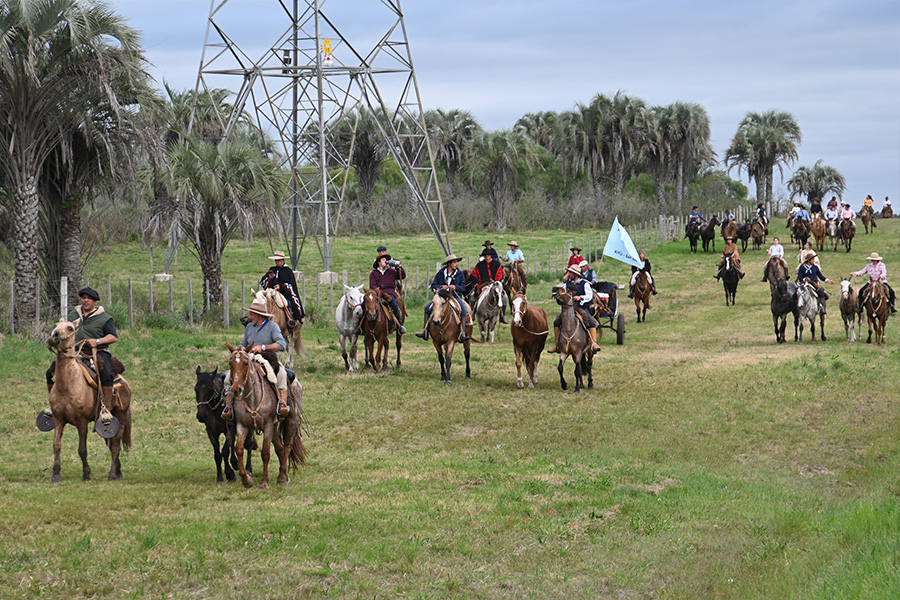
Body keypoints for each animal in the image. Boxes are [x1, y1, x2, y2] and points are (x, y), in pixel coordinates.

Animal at [45, 318, 131, 482]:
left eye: (70, 328)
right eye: (55, 326)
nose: (54, 336)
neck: (68, 384)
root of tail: (124, 382)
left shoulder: (82, 421)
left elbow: (82, 449)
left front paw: (86, 474)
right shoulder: (58, 419)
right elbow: (56, 445)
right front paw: (56, 474)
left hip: (120, 417)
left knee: (115, 446)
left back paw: (112, 474)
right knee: (112, 445)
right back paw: (118, 471)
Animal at [227, 342, 308, 488]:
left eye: (246, 363)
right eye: (231, 363)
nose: (236, 389)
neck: (253, 398)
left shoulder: (268, 425)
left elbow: (265, 452)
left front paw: (264, 482)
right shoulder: (242, 425)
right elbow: (239, 449)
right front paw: (246, 479)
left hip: (291, 421)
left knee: (287, 447)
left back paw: (283, 476)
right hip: (275, 428)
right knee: (280, 448)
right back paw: (282, 475)